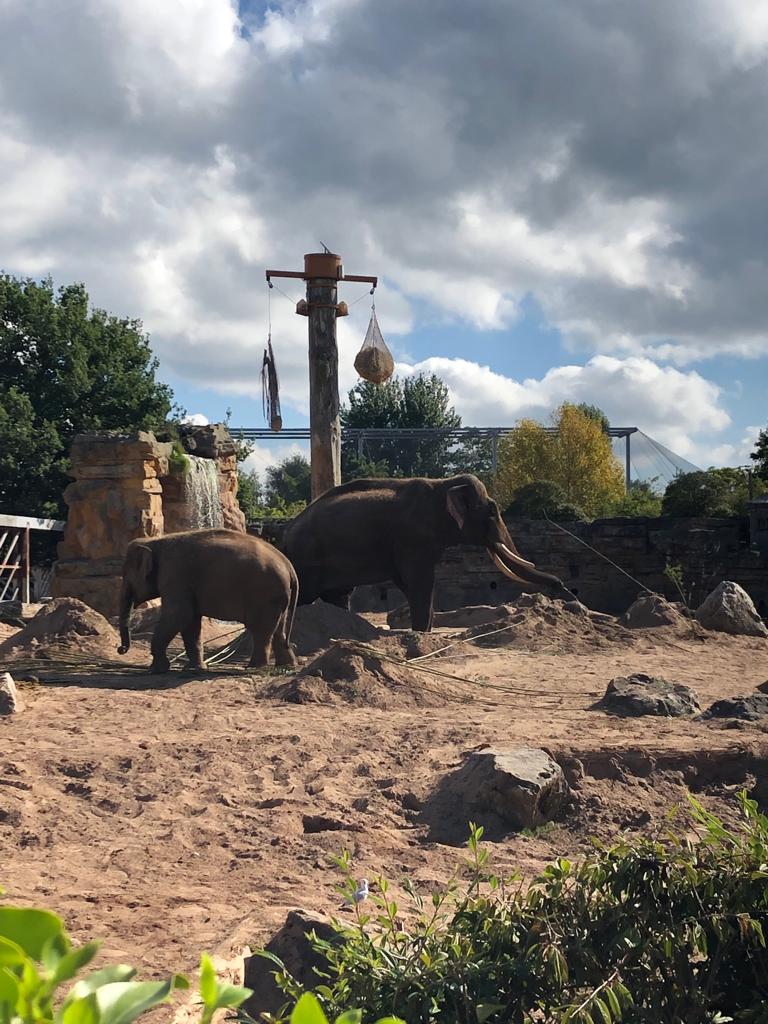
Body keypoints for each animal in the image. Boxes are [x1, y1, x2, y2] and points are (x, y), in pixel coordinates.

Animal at [117, 528, 298, 673]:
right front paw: (194, 669)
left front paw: (155, 670)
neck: (154, 541)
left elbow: (179, 615)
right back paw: (287, 666)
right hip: (278, 597)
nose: (121, 649)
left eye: (125, 575)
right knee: (278, 629)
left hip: (264, 595)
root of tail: (289, 567)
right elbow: (191, 621)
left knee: (260, 629)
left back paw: (253, 667)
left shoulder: (174, 576)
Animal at [282, 474, 573, 631]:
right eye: (492, 511)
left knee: (339, 596)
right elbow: (420, 582)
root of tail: (286, 535)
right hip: (307, 562)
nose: (562, 587)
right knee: (305, 597)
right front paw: (421, 633)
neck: (442, 485)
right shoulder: (414, 539)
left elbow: (411, 583)